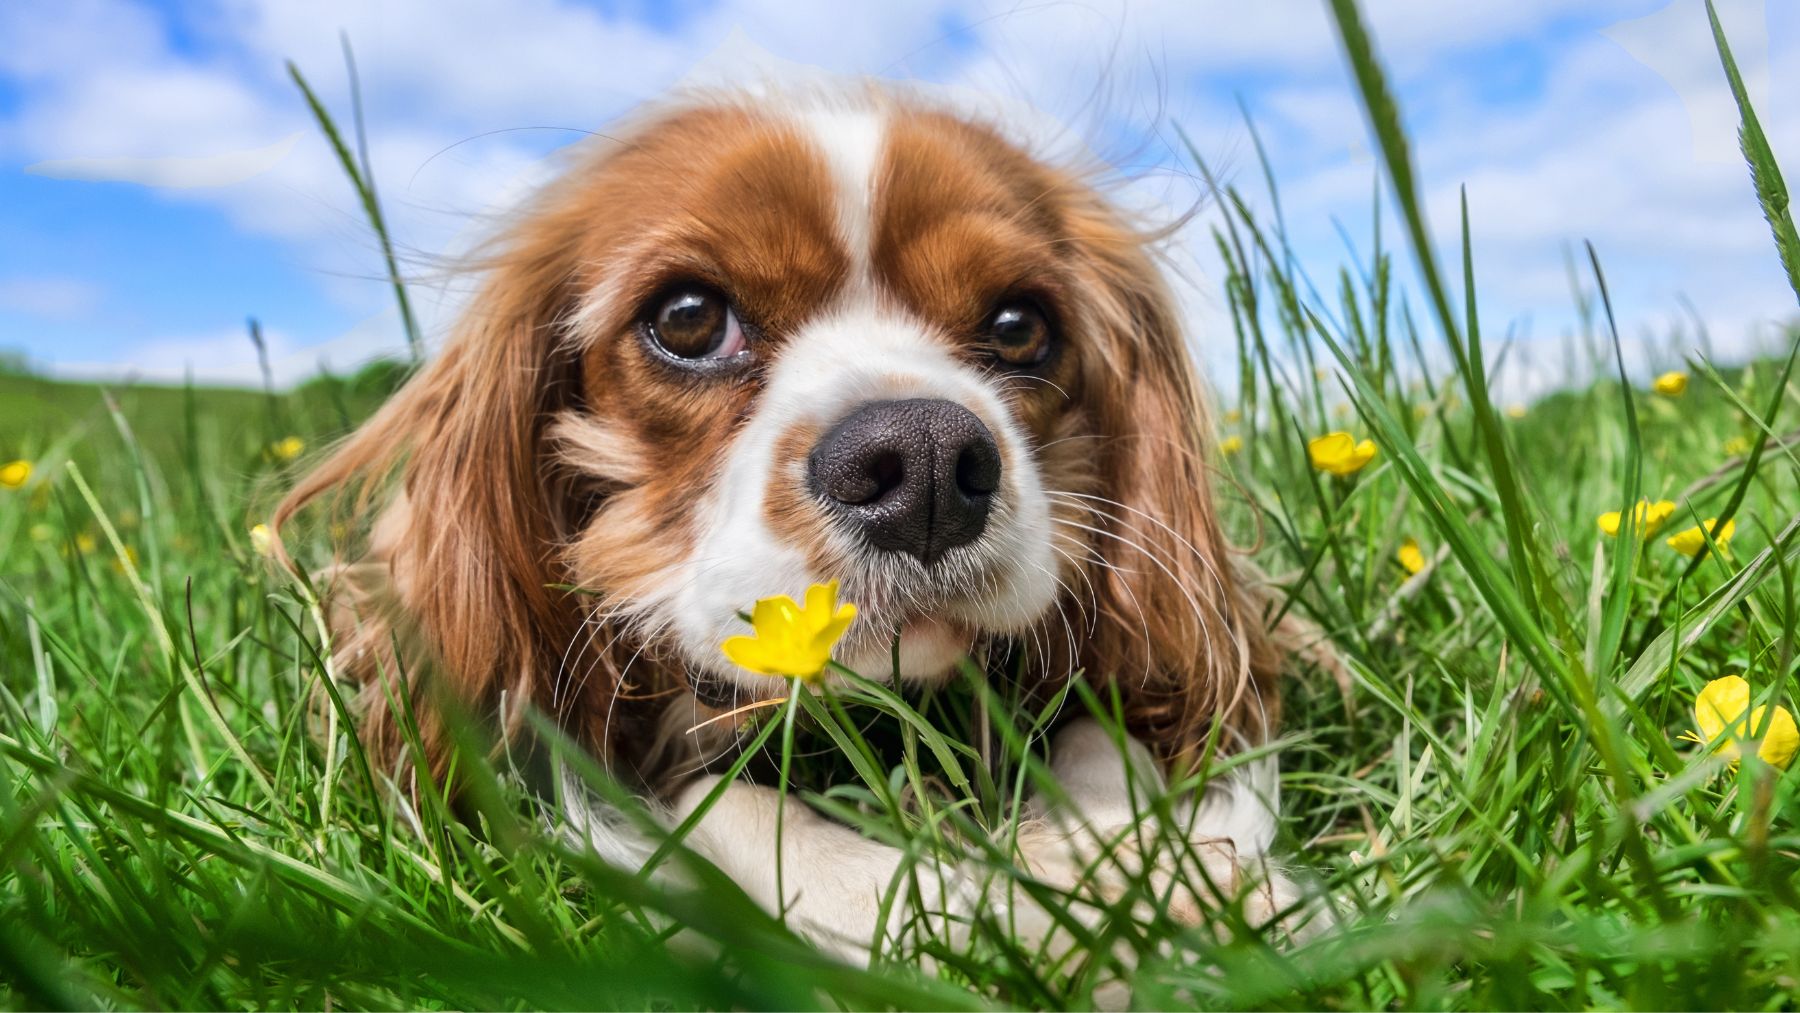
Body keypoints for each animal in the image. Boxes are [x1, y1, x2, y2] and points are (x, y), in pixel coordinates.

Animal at [273, 83, 1303, 964]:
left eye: (1020, 326)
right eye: (688, 317)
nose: (926, 461)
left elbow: (1108, 737)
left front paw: (1159, 869)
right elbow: (728, 812)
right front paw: (1019, 907)